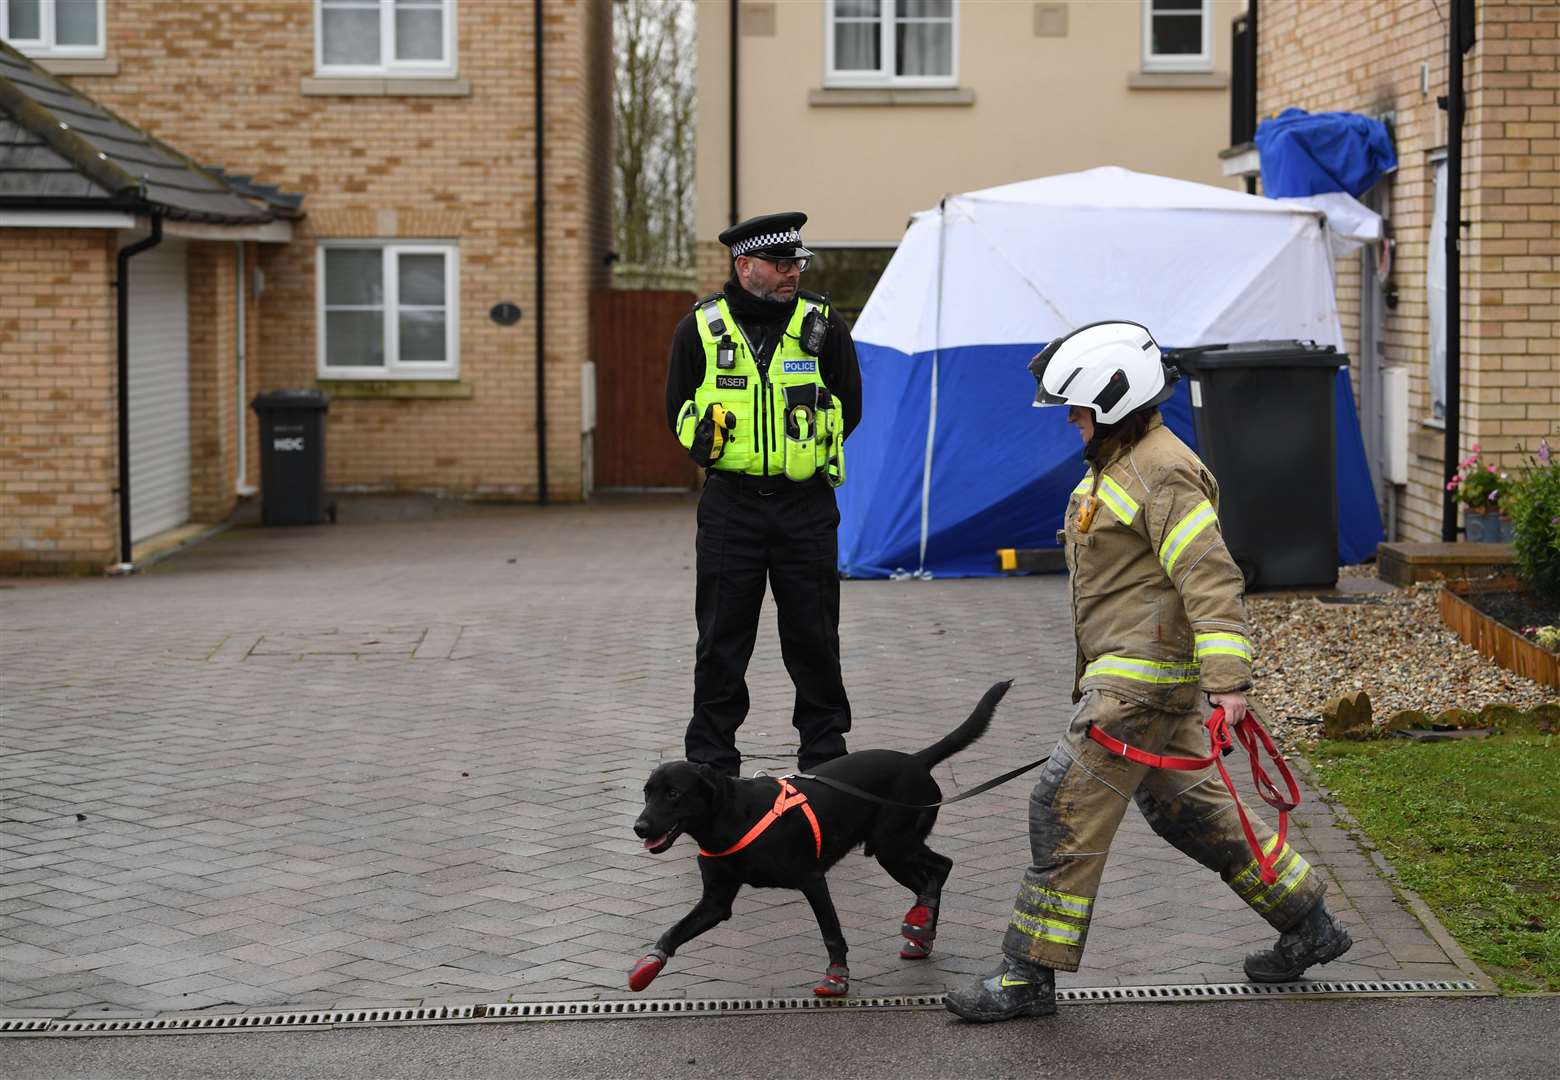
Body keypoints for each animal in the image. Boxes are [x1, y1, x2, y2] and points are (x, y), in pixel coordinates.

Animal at [630, 680, 1010, 998]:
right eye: (647, 792)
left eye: (674, 793)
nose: (639, 827)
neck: (731, 817)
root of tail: (917, 761)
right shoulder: (716, 902)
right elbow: (674, 931)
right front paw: (648, 966)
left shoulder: (812, 880)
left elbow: (831, 932)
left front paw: (837, 976)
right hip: (891, 852)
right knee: (927, 880)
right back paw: (920, 930)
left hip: (894, 844)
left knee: (942, 866)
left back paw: (922, 919)